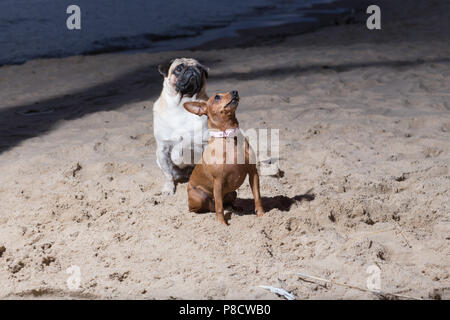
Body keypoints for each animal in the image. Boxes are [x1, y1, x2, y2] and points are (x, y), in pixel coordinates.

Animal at [153, 57, 209, 194]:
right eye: (179, 68)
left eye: (199, 68)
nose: (192, 69)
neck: (182, 106)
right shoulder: (162, 149)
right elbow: (168, 173)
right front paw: (168, 188)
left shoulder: (199, 142)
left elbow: (179, 148)